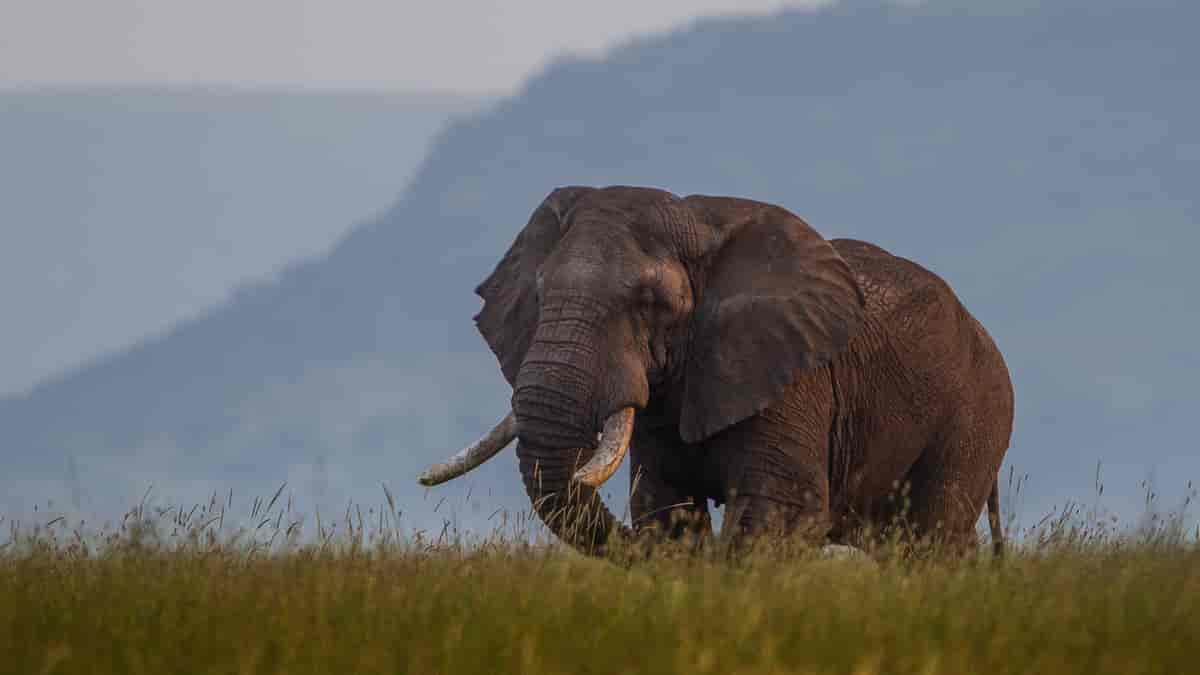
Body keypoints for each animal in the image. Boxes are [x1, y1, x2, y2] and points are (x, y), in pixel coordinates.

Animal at [420, 184, 1012, 557]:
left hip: (974, 414)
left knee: (932, 535)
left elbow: (779, 510)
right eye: (540, 296)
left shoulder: (790, 375)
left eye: (648, 303)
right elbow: (667, 508)